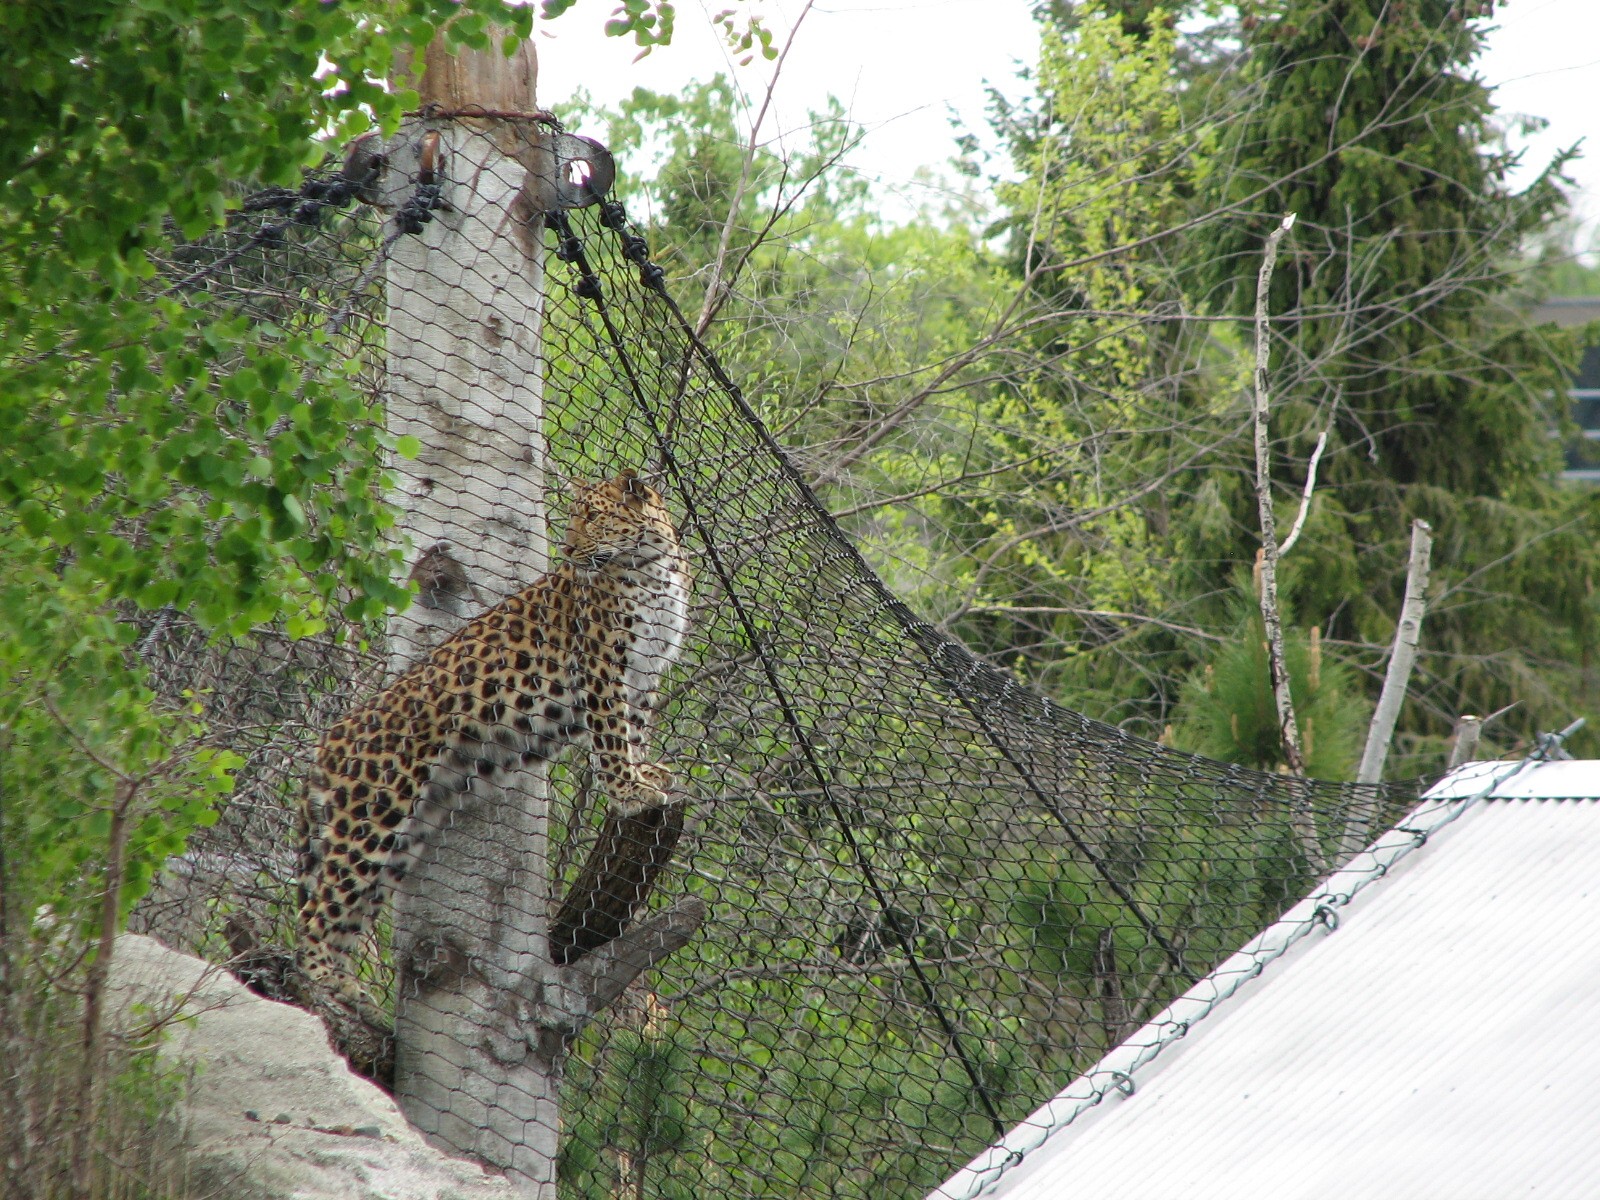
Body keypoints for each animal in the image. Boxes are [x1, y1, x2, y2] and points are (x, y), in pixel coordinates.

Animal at [295, 470, 691, 1004]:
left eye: (592, 516)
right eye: (577, 516)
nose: (567, 549)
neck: (653, 567)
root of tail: (328, 740)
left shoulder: (647, 671)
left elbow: (635, 728)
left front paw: (645, 772)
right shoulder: (603, 666)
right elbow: (611, 735)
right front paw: (629, 792)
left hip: (400, 837)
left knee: (352, 906)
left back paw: (344, 984)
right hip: (371, 813)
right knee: (321, 906)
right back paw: (321, 977)